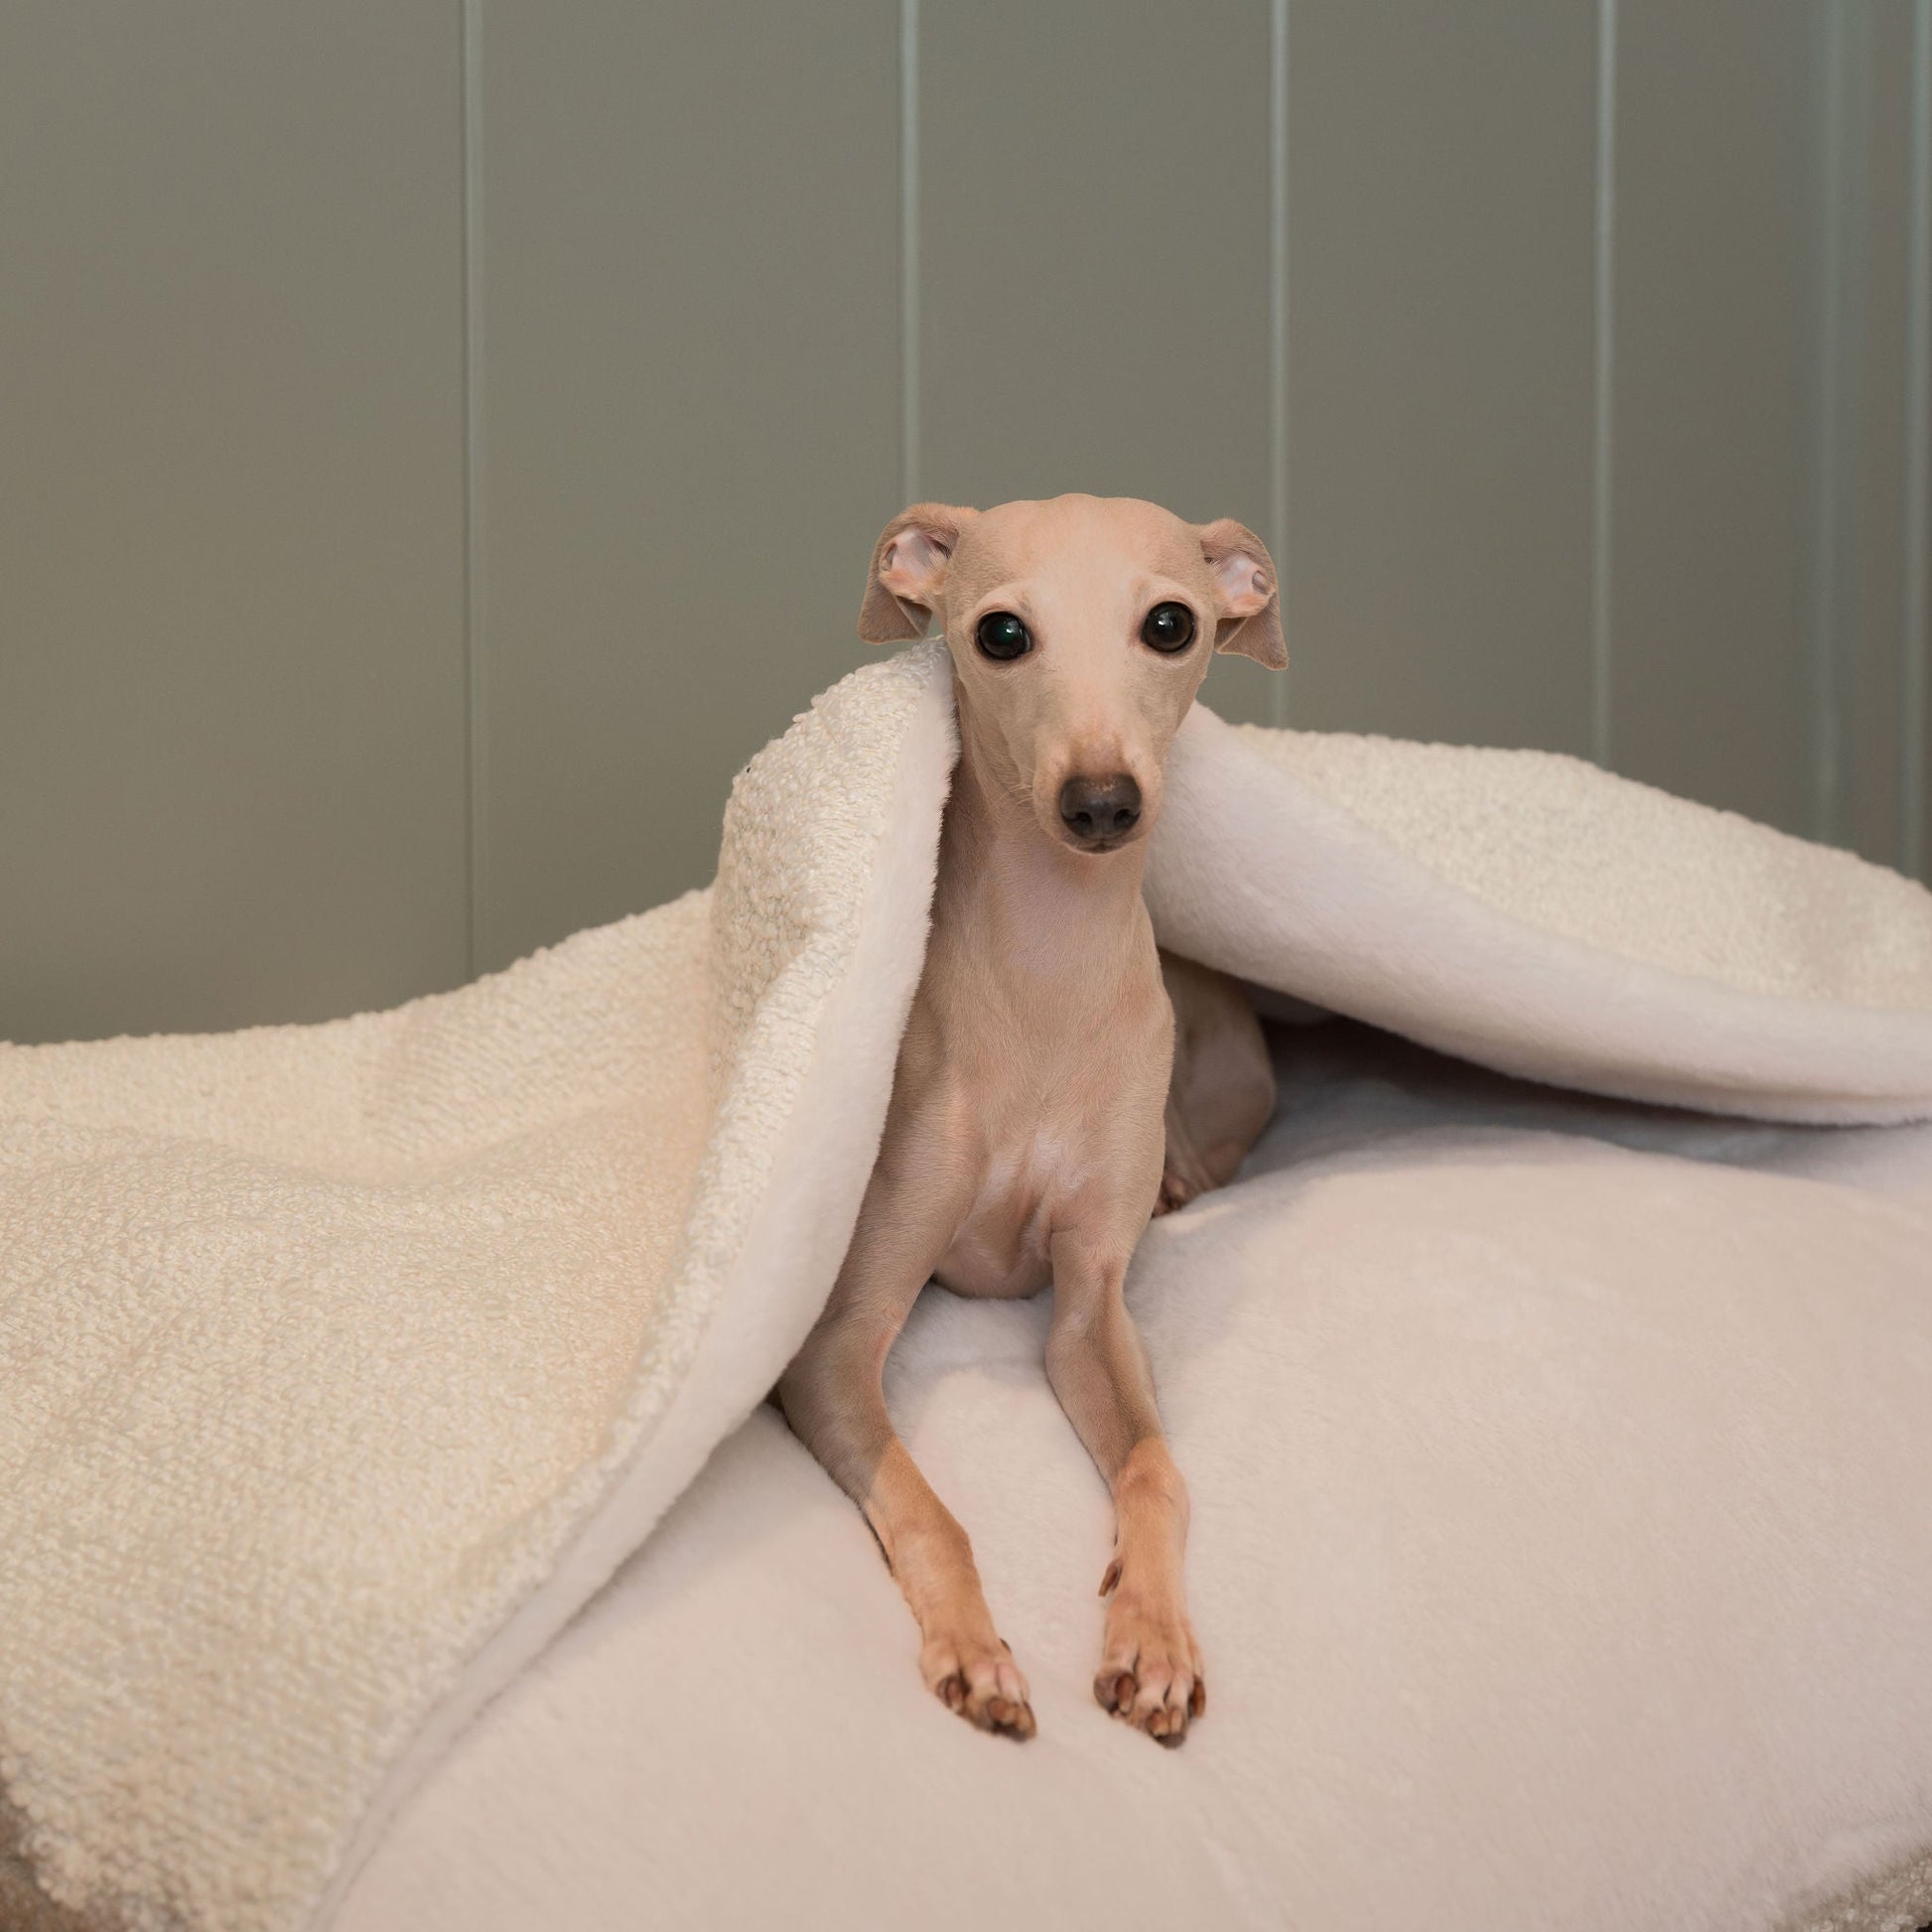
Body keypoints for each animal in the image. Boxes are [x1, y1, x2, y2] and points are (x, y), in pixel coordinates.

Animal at [768, 490, 1283, 1746]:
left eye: (1168, 622)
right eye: (998, 633)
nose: (1099, 804)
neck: (1045, 981)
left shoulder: (1088, 1304)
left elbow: (1157, 1466)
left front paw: (1152, 1636)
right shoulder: (832, 1341)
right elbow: (926, 1503)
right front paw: (973, 1649)